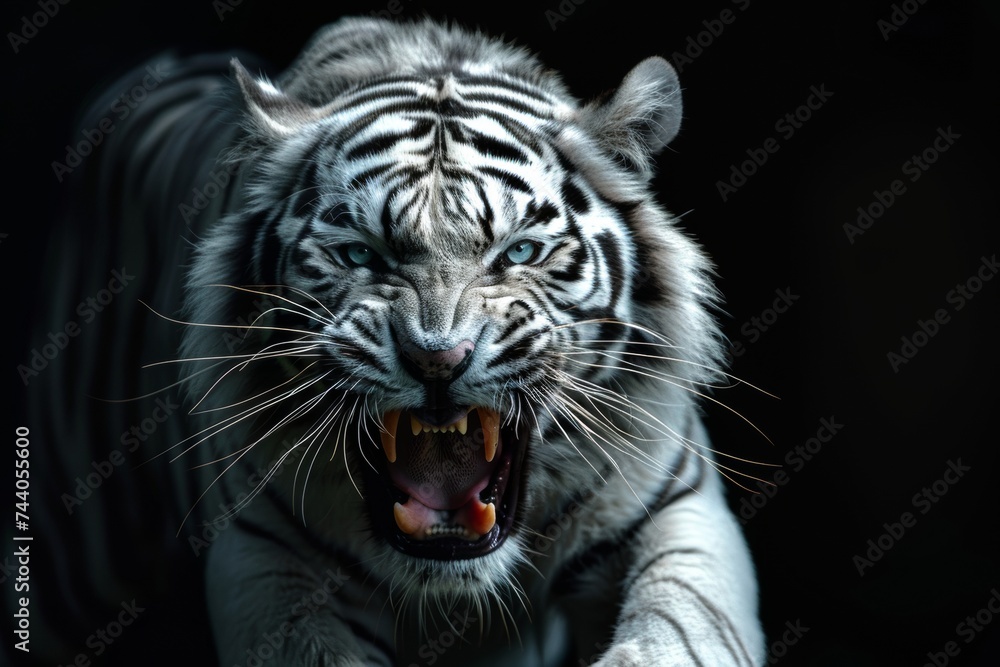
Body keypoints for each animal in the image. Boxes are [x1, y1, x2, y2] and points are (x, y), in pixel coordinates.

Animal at [14, 15, 763, 667]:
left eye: (519, 252)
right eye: (359, 255)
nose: (437, 358)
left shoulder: (678, 513)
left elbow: (677, 635)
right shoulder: (271, 563)